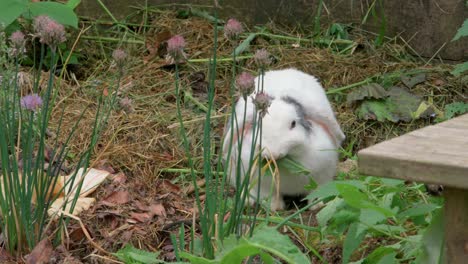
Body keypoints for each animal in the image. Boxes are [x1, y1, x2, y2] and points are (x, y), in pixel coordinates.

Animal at [223, 67, 344, 210]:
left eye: (293, 123)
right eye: (257, 125)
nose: (274, 153)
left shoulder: (322, 176)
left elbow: (317, 192)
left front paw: (317, 205)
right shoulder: (262, 186)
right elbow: (271, 197)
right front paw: (276, 208)